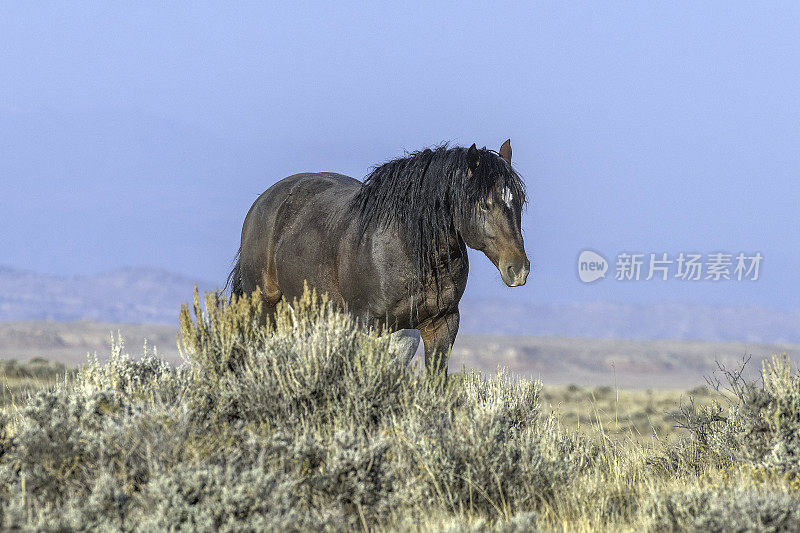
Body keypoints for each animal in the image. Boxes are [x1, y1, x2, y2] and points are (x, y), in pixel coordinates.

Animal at [228, 139, 528, 376]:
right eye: (484, 204)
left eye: (520, 201)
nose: (518, 269)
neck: (409, 249)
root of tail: (264, 201)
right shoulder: (367, 324)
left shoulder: (442, 323)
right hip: (264, 308)